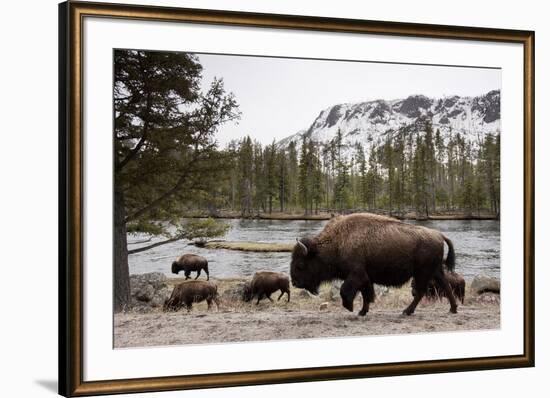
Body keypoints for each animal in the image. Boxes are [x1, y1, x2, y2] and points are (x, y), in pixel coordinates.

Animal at [294, 215, 462, 318]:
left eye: (301, 264)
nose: (295, 282)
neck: (337, 242)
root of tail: (439, 235)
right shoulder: (365, 278)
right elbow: (366, 294)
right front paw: (362, 312)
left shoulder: (357, 275)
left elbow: (346, 290)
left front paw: (350, 307)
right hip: (434, 271)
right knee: (445, 287)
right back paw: (452, 309)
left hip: (423, 273)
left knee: (421, 292)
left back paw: (406, 311)